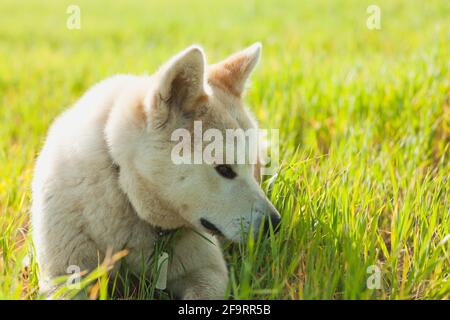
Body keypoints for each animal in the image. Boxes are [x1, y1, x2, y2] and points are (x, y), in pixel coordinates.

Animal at [32, 43, 282, 298]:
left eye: (250, 166)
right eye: (224, 169)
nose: (275, 224)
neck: (124, 189)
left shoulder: (208, 272)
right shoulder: (63, 276)